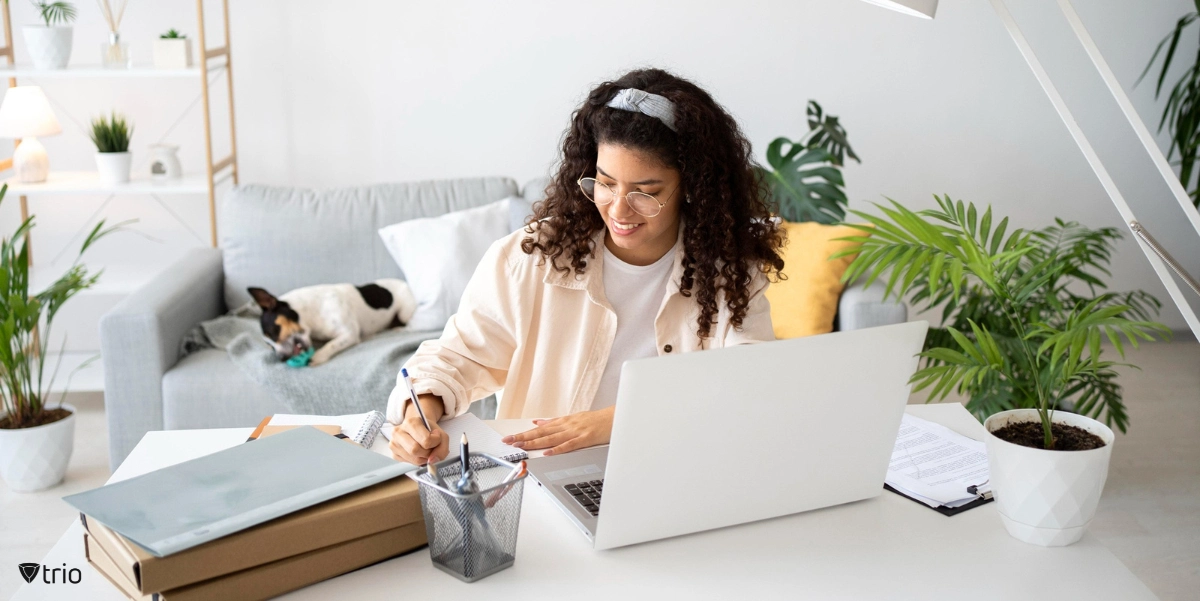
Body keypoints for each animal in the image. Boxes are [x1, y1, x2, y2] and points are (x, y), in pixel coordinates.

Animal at [246, 279, 420, 364]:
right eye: (269, 345)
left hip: (404, 312)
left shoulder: (349, 334)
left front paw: (317, 357)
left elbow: (331, 344)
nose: (281, 359)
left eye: (274, 331)